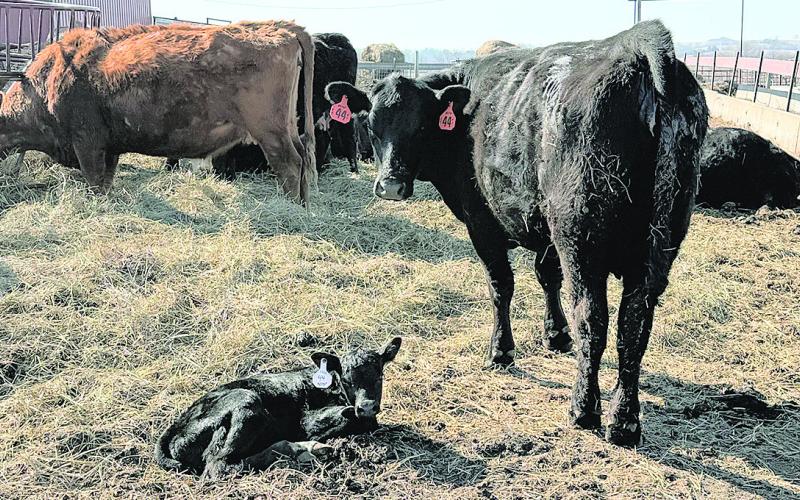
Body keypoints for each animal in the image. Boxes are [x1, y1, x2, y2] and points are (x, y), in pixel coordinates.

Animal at [0, 21, 316, 204]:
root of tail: (283, 28)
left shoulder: (87, 143)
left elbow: (95, 181)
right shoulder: (109, 147)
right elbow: (106, 179)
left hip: (269, 132)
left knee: (289, 164)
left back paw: (289, 206)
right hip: (288, 126)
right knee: (302, 159)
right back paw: (303, 205)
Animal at [154, 338, 402, 478]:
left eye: (380, 376)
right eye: (347, 380)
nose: (367, 406)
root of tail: (173, 430)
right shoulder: (308, 421)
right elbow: (348, 418)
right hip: (246, 401)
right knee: (218, 466)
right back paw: (302, 449)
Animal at [325, 20, 707, 446]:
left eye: (421, 125)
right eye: (370, 124)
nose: (390, 185)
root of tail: (638, 45)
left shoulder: (483, 224)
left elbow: (501, 287)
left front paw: (501, 351)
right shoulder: (543, 229)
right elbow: (547, 277)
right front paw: (555, 336)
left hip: (581, 240)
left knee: (594, 319)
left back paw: (584, 410)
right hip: (660, 244)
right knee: (634, 326)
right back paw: (625, 421)